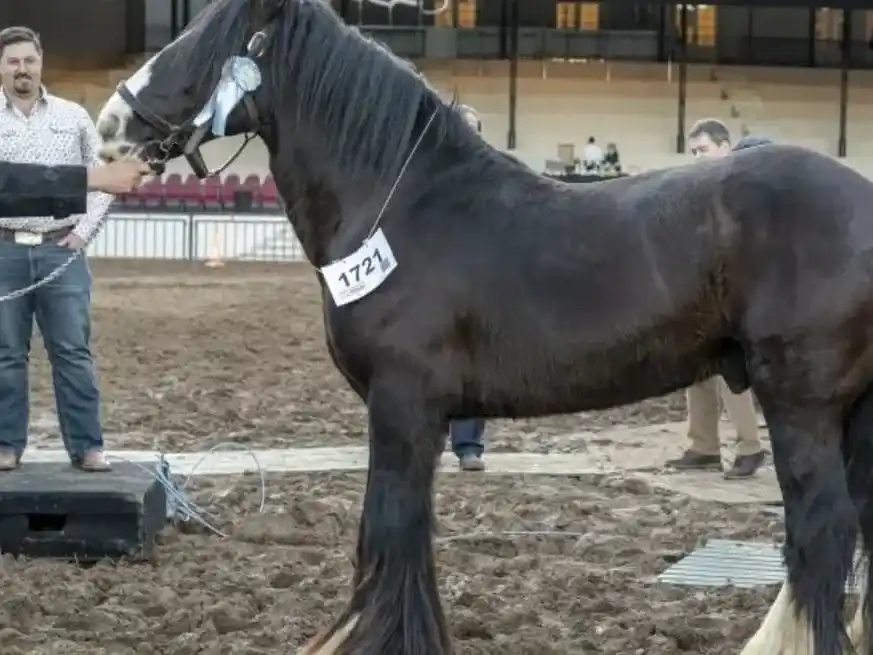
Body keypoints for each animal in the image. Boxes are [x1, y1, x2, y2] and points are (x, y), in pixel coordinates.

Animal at [95, 0, 873, 653]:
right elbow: (404, 532)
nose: (108, 128)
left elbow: (391, 528)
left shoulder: (402, 403)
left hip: (800, 403)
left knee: (821, 533)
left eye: (203, 39)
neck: (404, 205)